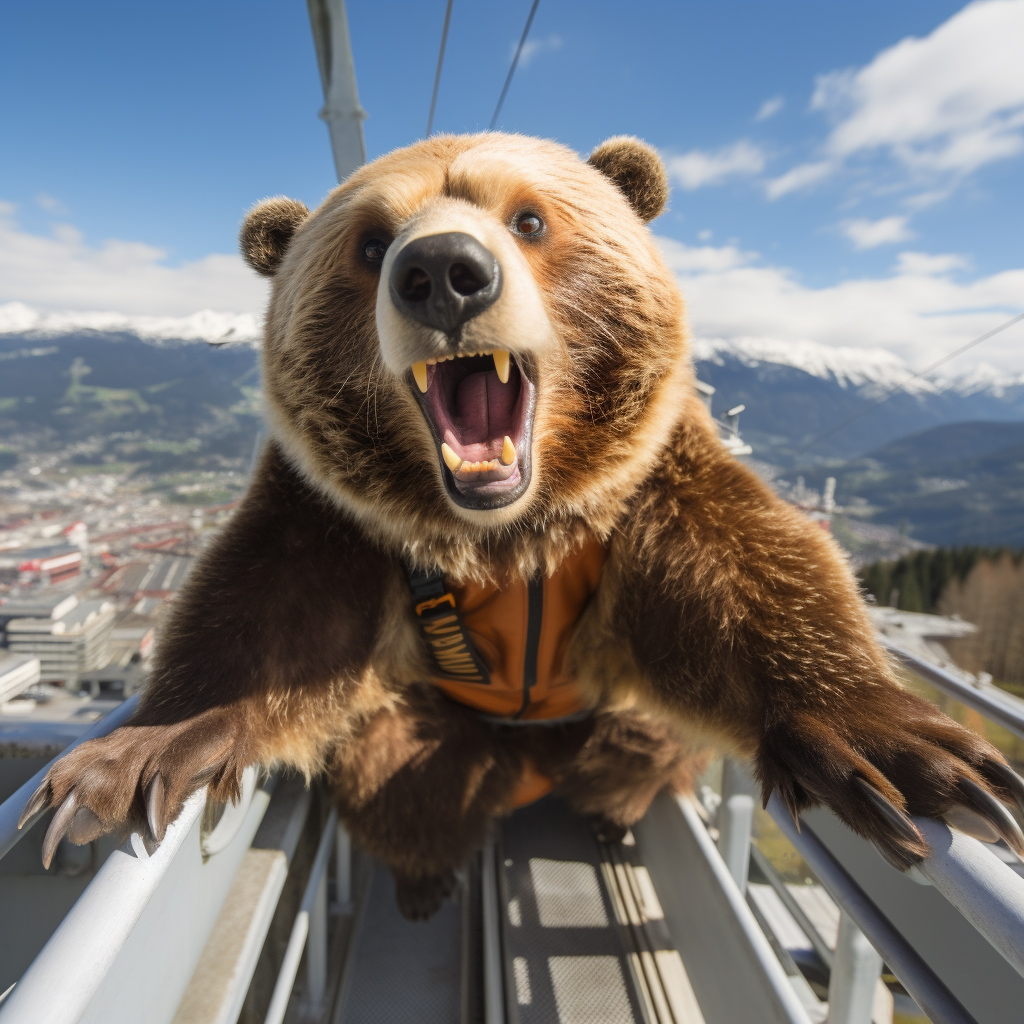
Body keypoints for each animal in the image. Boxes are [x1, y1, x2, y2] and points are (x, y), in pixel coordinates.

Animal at [22, 130, 1024, 921]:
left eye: (531, 219)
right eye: (370, 241)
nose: (441, 273)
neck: (510, 527)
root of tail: (528, 763)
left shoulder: (654, 477)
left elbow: (745, 568)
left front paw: (904, 749)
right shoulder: (329, 511)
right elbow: (264, 610)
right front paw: (140, 756)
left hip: (611, 709)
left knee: (649, 736)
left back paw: (612, 811)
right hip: (430, 725)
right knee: (399, 772)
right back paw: (426, 877)